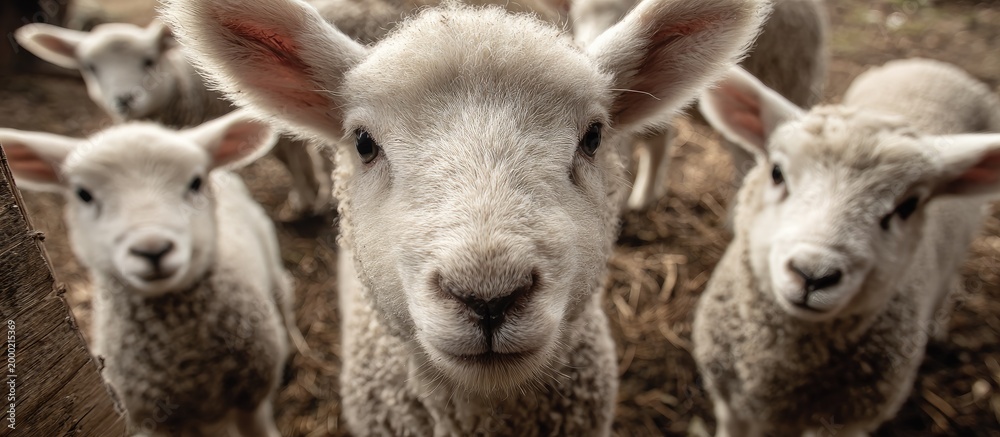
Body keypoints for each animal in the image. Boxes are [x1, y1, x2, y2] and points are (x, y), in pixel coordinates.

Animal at [0, 111, 291, 437]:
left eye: (195, 182)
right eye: (84, 194)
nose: (152, 249)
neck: (190, 363)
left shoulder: (252, 399)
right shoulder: (156, 421)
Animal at [14, 20, 332, 218]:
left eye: (149, 61)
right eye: (90, 67)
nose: (124, 100)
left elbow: (294, 157)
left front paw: (307, 200)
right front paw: (312, 194)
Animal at [692, 58, 1000, 437]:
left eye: (908, 206)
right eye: (777, 172)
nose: (813, 275)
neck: (784, 372)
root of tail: (935, 66)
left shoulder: (848, 421)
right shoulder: (731, 402)